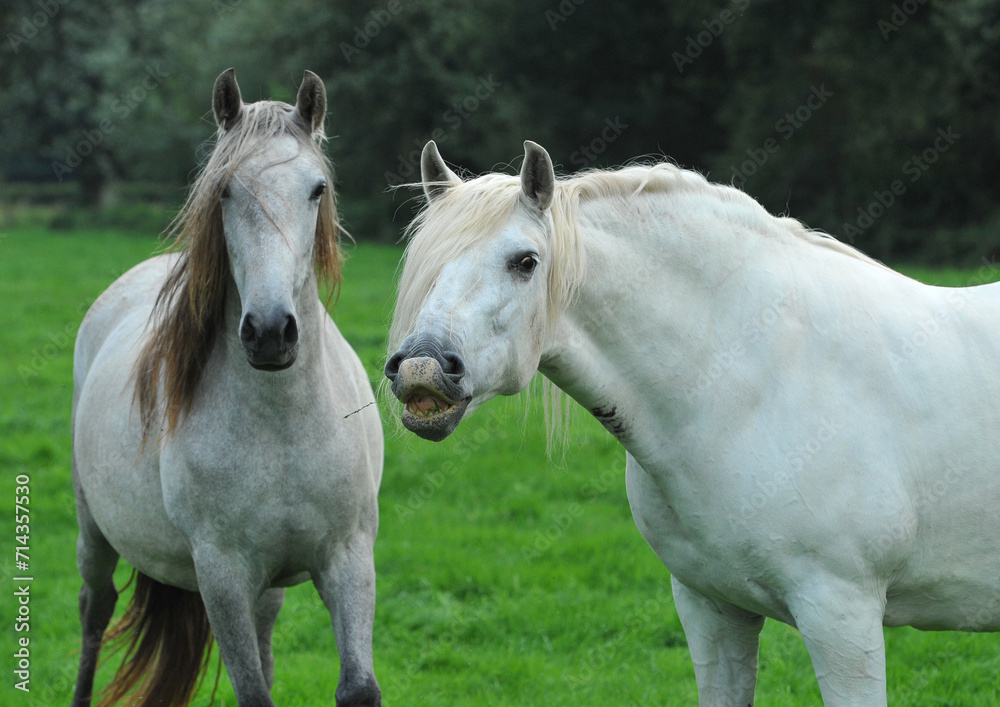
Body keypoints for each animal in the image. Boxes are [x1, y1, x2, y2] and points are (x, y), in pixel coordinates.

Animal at [70, 69, 382, 704]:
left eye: (316, 189)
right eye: (224, 192)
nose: (270, 332)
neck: (283, 424)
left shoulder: (348, 558)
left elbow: (357, 688)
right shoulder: (223, 575)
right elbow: (253, 691)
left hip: (271, 584)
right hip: (94, 529)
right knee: (95, 609)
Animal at [386, 141, 1000, 704]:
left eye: (526, 261)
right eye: (426, 261)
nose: (421, 369)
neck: (753, 379)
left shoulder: (842, 615)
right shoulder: (712, 609)